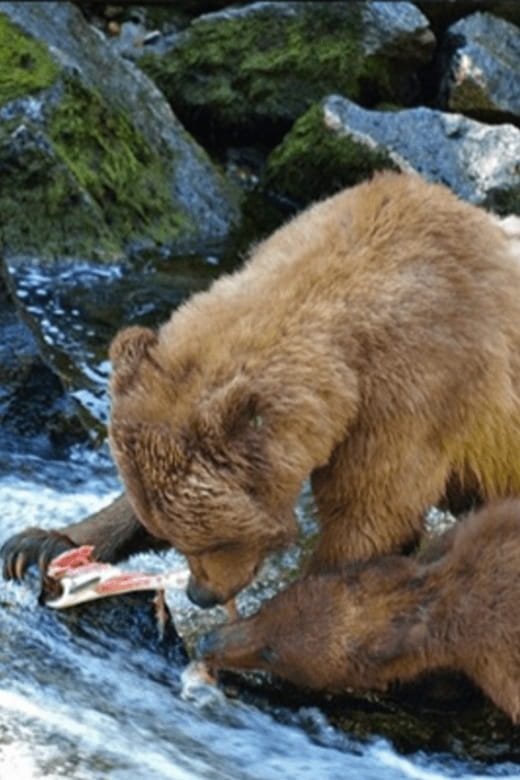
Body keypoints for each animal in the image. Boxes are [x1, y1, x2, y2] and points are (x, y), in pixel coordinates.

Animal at [3, 172, 520, 609]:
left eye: (217, 538)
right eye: (170, 533)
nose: (201, 595)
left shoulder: (416, 394)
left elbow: (369, 521)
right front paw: (36, 545)